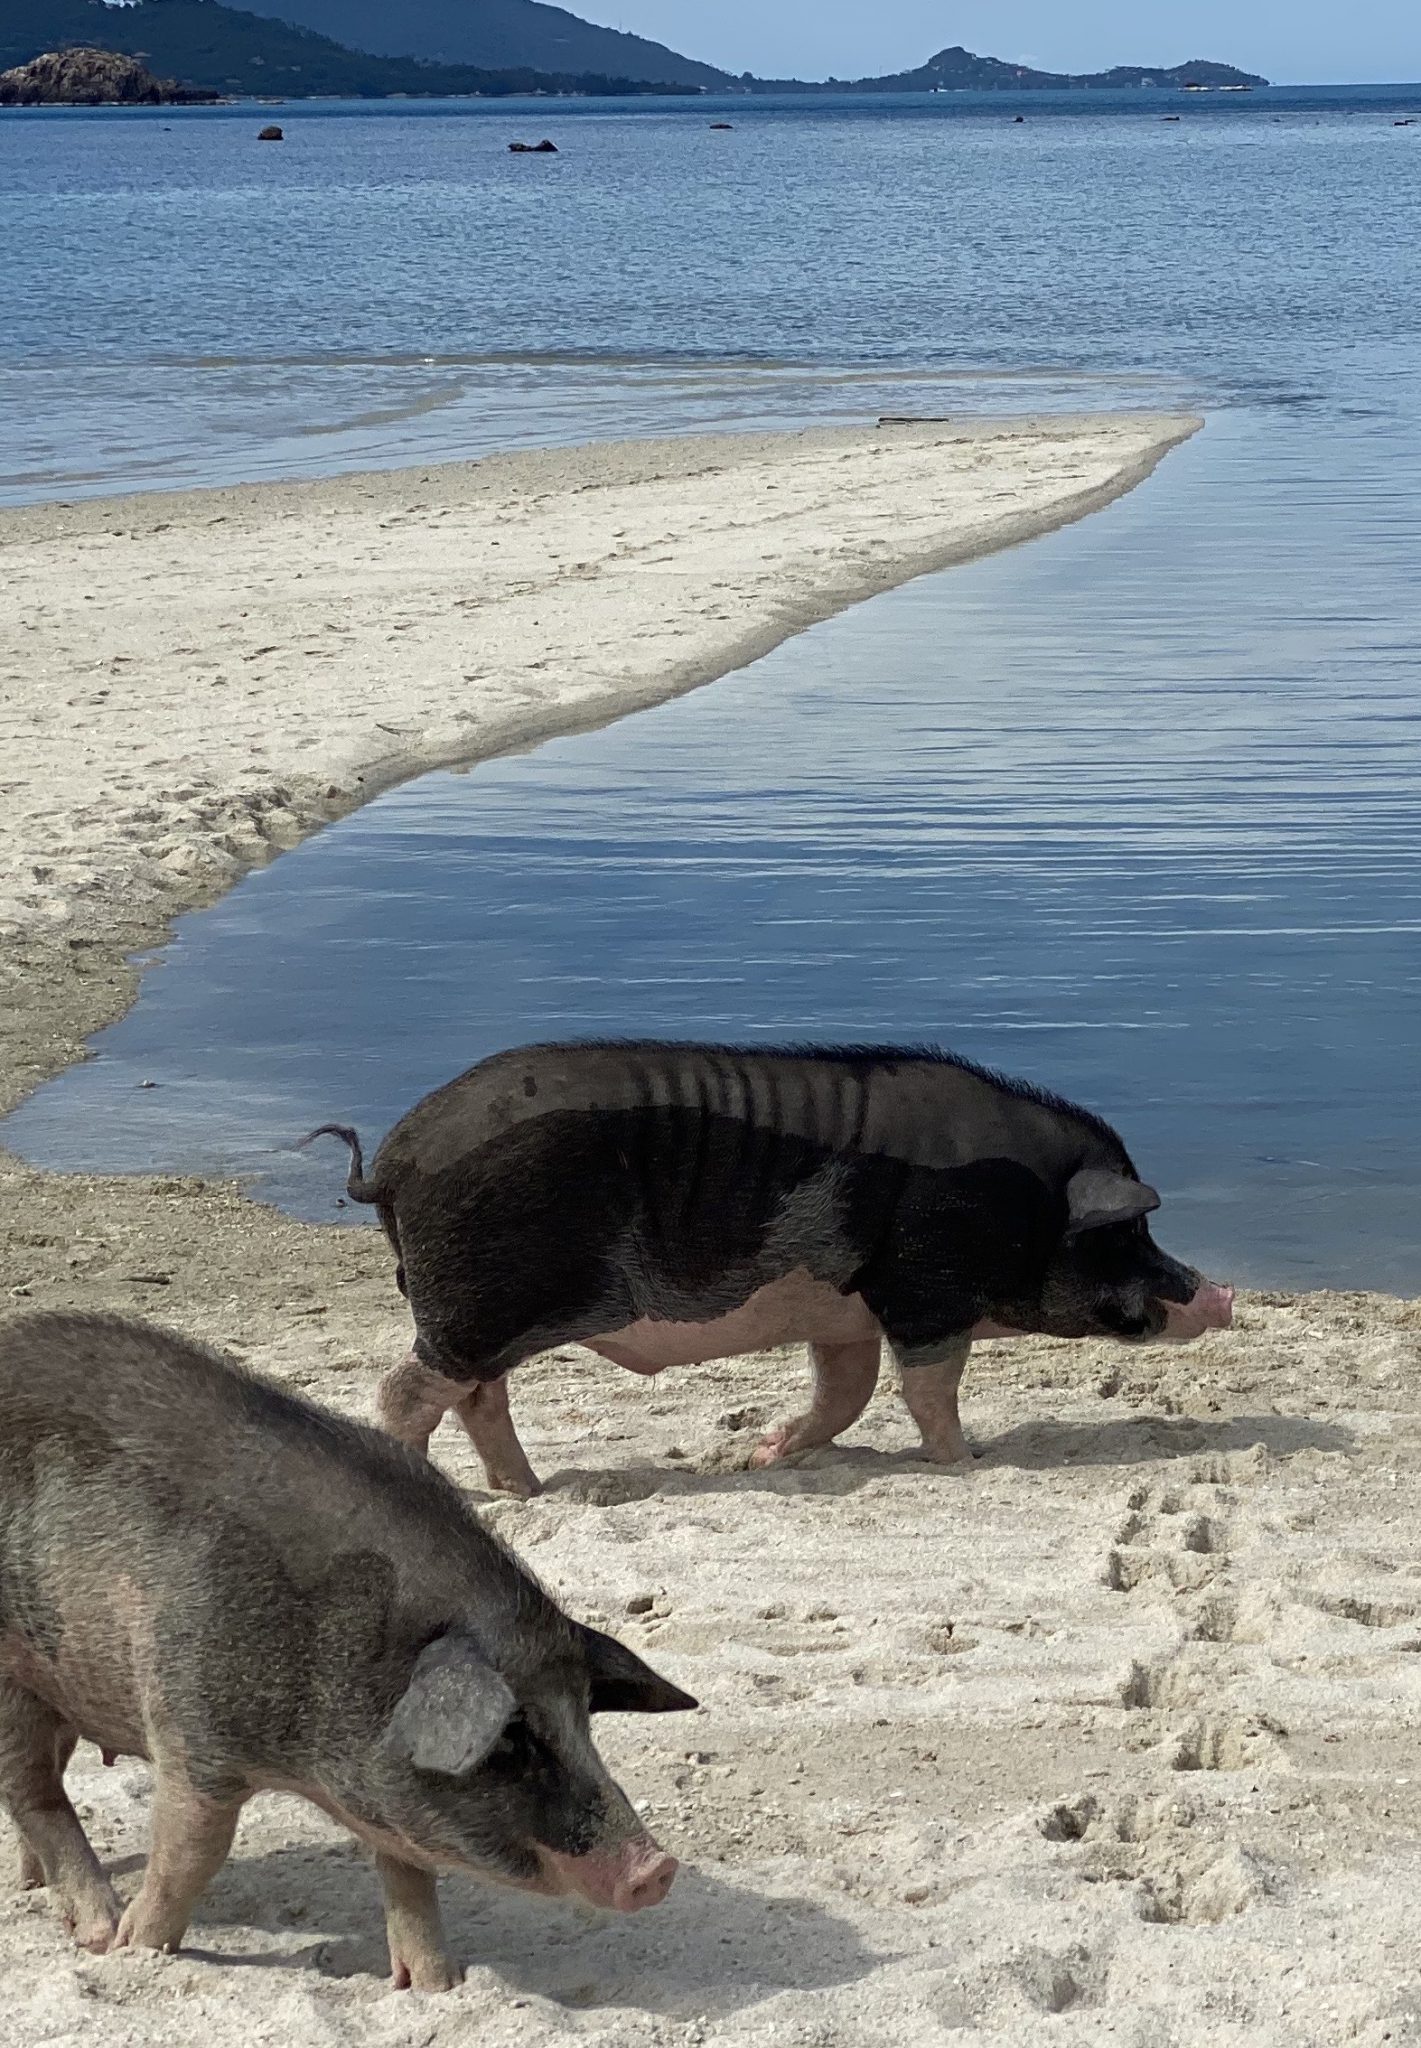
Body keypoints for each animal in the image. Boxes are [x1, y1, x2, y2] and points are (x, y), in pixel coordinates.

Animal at [0, 1310, 694, 1989]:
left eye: (583, 1719)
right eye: (509, 1739)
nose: (657, 1867)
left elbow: (409, 1874)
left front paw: (436, 1985)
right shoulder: (192, 1731)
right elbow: (191, 1854)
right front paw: (135, 1949)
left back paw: (30, 1886)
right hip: (15, 1680)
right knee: (35, 1792)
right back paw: (97, 1931)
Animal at [305, 1039, 1234, 1499]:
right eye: (1128, 1230)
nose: (1221, 1294)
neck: (1029, 1204)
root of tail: (393, 1162)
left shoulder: (843, 1310)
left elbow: (845, 1391)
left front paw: (760, 1457)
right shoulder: (925, 1290)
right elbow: (926, 1390)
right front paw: (966, 1463)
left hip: (481, 1316)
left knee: (476, 1397)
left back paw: (528, 1492)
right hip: (477, 1307)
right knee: (407, 1390)